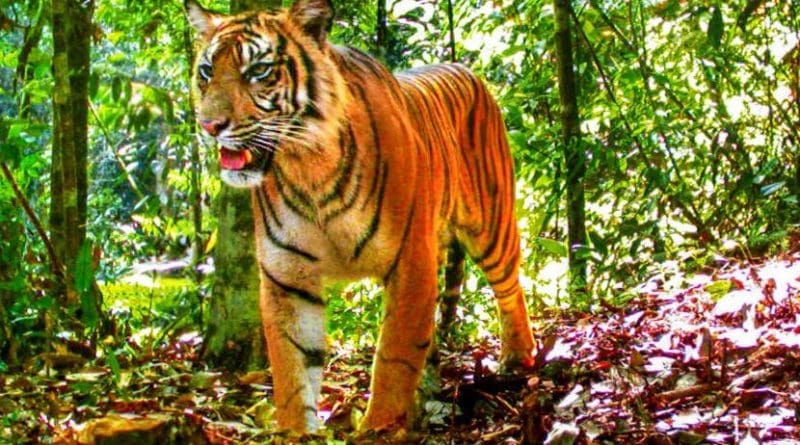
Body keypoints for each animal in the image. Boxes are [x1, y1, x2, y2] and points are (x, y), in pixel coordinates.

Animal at [186, 0, 536, 434]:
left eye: (259, 71)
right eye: (206, 70)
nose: (208, 126)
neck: (309, 168)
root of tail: (465, 68)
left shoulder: (410, 262)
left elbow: (394, 359)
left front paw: (380, 428)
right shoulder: (287, 278)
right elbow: (292, 369)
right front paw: (298, 433)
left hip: (491, 226)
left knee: (511, 287)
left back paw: (517, 357)